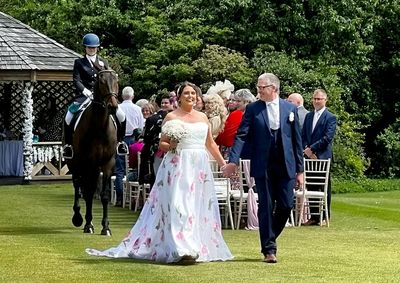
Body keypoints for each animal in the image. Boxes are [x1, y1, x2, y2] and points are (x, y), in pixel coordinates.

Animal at [67, 70, 119, 236]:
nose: (113, 107)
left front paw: (106, 227)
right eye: (101, 82)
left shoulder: (107, 163)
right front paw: (88, 224)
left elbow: (105, 195)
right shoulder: (88, 162)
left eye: (116, 81)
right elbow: (89, 193)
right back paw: (77, 217)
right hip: (75, 163)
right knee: (77, 184)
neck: (100, 126)